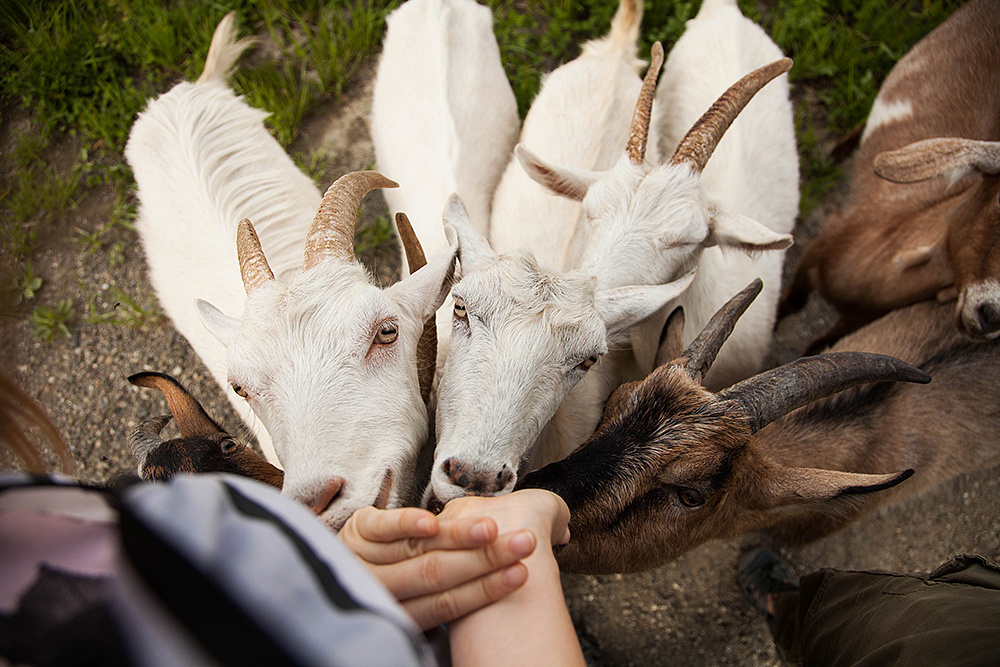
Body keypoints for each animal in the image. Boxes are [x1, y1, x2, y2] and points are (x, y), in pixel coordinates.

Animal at [780, 0, 1000, 344]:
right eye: (999, 202)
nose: (990, 315)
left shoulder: (857, 319)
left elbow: (823, 342)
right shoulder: (820, 244)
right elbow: (792, 303)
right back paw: (837, 151)